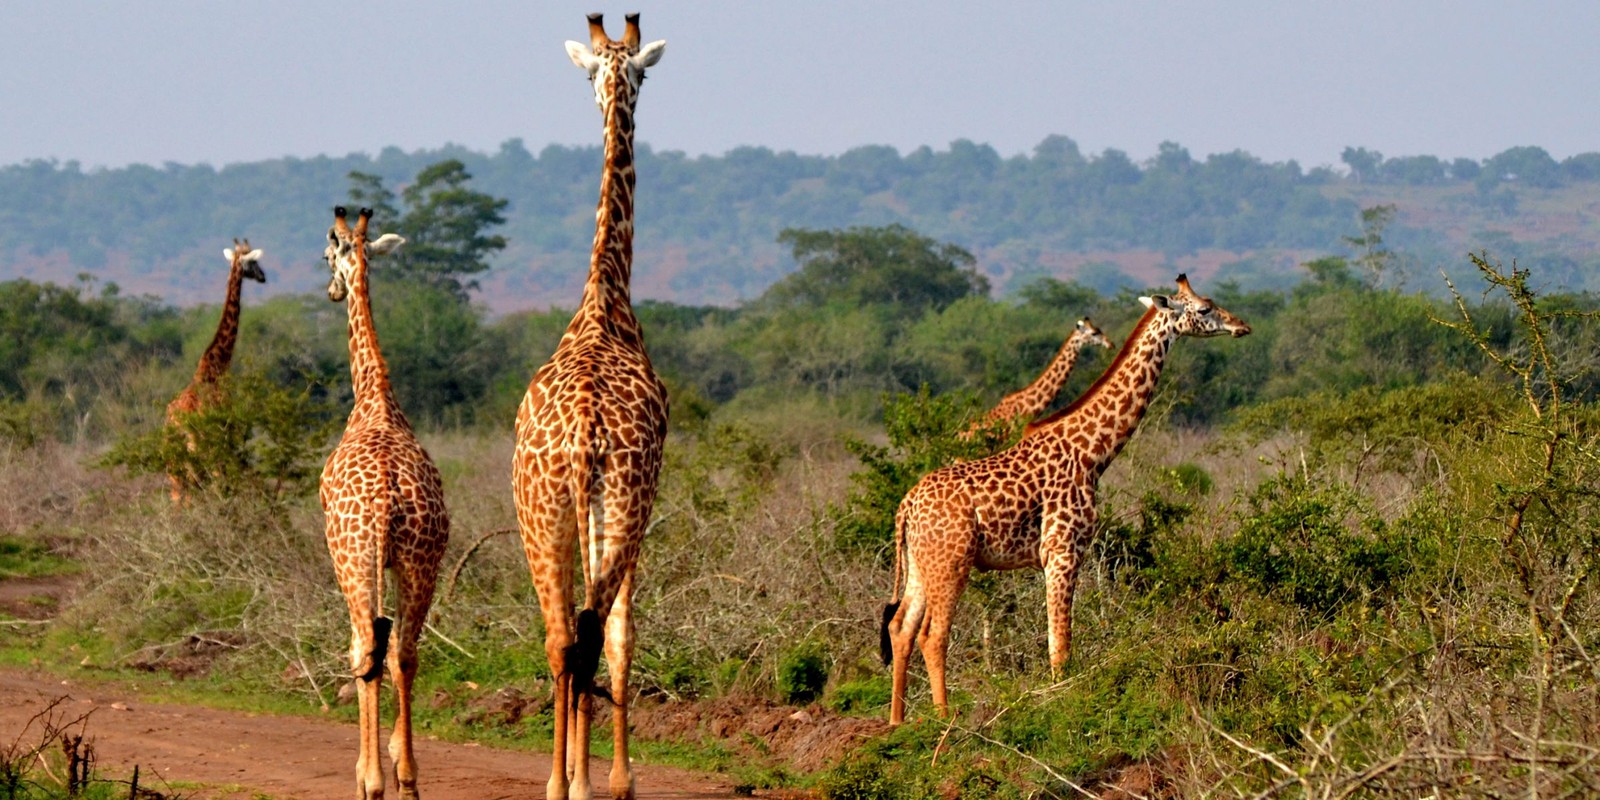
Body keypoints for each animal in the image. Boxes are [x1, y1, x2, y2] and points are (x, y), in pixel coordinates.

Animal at [164, 238, 267, 499]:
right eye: (254, 262)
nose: (263, 277)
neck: (215, 367)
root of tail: (174, 421)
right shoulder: (227, 431)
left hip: (173, 454)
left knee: (178, 491)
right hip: (199, 447)